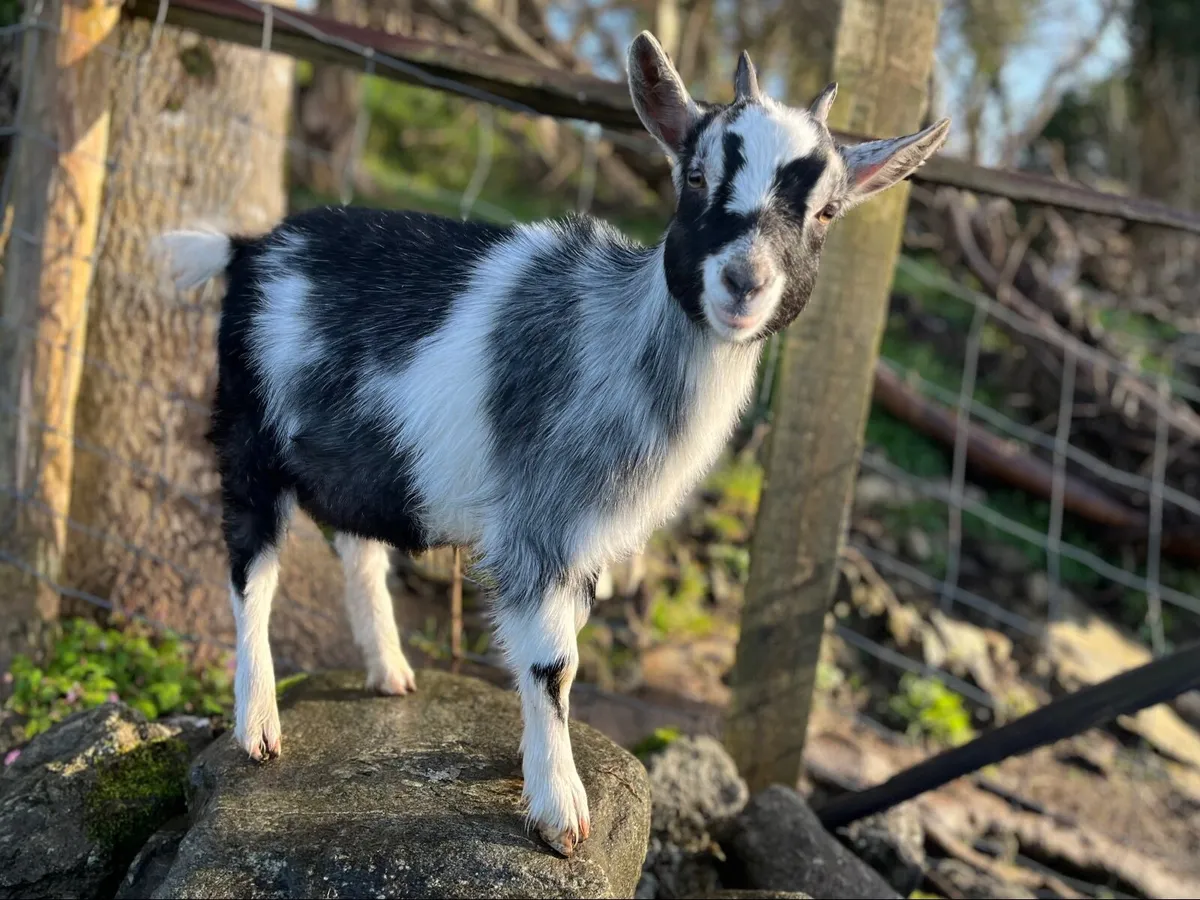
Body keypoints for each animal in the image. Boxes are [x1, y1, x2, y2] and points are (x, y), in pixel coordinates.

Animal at [157, 32, 949, 857]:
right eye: (697, 176)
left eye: (826, 211)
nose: (743, 282)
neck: (617, 338)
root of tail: (249, 248)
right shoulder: (539, 522)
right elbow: (553, 661)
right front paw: (559, 808)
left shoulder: (587, 540)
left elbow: (565, 641)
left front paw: (534, 757)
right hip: (248, 435)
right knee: (251, 570)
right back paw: (258, 724)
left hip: (361, 455)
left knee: (357, 545)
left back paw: (389, 670)